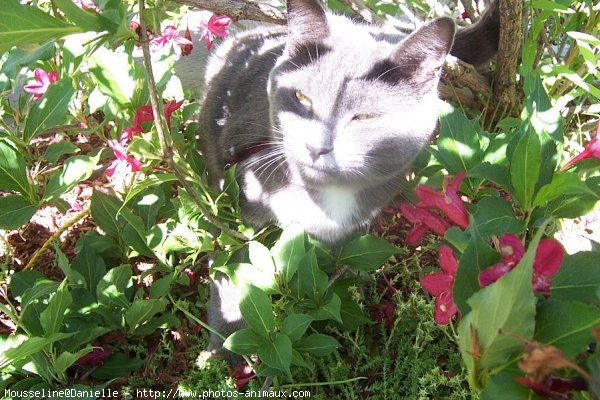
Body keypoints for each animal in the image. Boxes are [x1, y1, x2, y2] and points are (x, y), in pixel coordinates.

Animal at [199, 0, 500, 360]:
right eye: (301, 98)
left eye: (365, 117)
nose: (316, 146)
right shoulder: (238, 207)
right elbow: (232, 268)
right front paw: (227, 347)